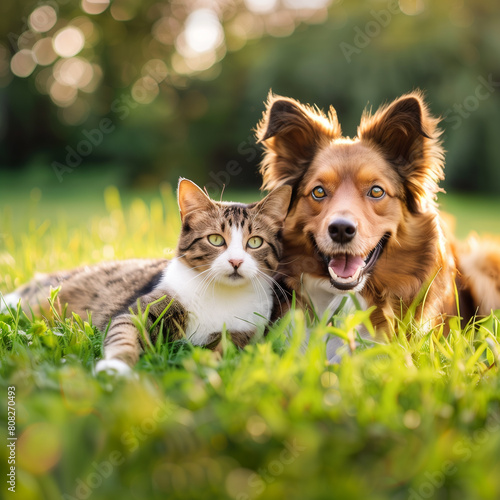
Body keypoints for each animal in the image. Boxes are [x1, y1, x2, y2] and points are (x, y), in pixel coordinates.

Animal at [1, 179, 292, 372]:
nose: (235, 261)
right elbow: (124, 334)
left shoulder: (243, 333)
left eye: (254, 242)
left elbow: (222, 352)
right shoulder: (142, 311)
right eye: (215, 239)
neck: (220, 294)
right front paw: (115, 368)